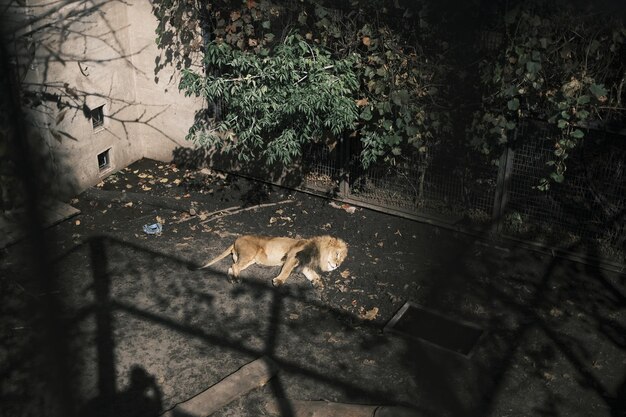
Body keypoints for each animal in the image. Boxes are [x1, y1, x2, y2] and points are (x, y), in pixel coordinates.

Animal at [196, 234, 346, 290]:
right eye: (337, 254)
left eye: (342, 259)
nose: (337, 265)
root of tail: (235, 240)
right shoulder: (292, 256)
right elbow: (286, 271)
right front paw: (278, 281)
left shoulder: (304, 266)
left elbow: (313, 274)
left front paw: (318, 283)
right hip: (249, 254)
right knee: (234, 266)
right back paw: (237, 279)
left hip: (248, 259)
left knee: (231, 267)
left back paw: (231, 279)